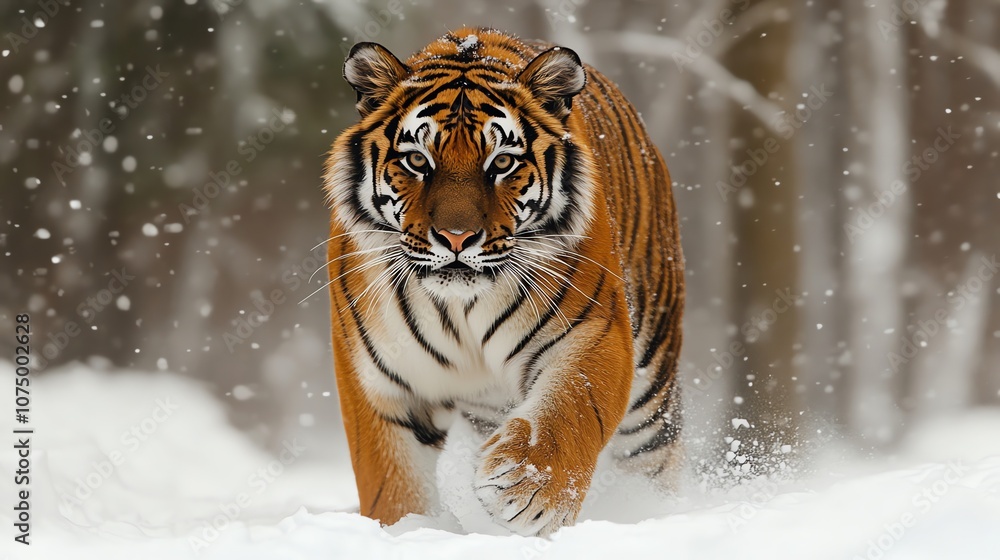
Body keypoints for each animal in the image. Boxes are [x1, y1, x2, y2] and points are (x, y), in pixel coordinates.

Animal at [323, 27, 684, 537]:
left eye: (501, 163)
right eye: (416, 160)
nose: (456, 237)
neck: (458, 307)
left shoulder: (594, 333)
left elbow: (571, 408)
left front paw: (527, 489)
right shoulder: (378, 381)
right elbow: (391, 486)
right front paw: (407, 531)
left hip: (650, 390)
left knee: (653, 459)